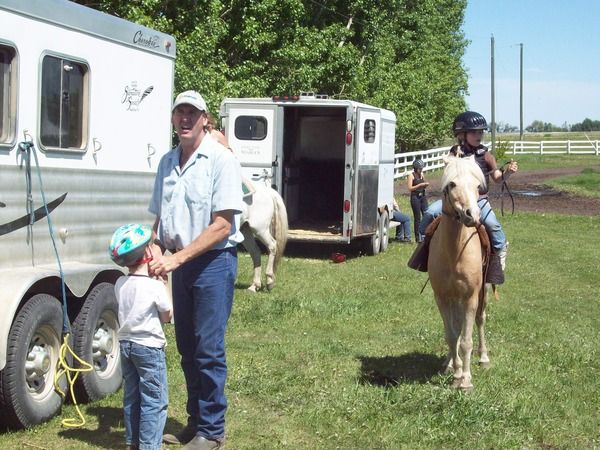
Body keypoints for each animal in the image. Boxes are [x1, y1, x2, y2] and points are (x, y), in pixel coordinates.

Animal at [428, 155, 489, 391]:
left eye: (477, 186)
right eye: (451, 184)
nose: (472, 215)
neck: (454, 251)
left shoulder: (471, 297)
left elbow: (466, 341)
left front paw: (466, 380)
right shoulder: (441, 297)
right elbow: (452, 336)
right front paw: (456, 373)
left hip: (483, 292)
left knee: (480, 319)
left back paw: (483, 358)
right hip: (454, 299)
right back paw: (449, 364)